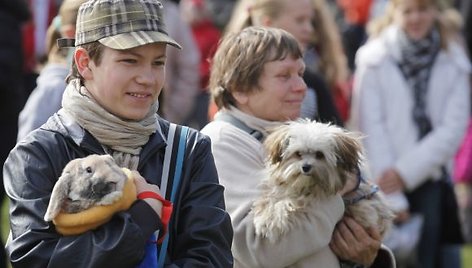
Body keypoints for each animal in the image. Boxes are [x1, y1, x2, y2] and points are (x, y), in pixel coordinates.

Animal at [253, 119, 392, 243]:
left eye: (319, 155)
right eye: (298, 154)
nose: (306, 167)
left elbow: (295, 200)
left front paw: (271, 219)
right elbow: (272, 197)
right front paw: (267, 214)